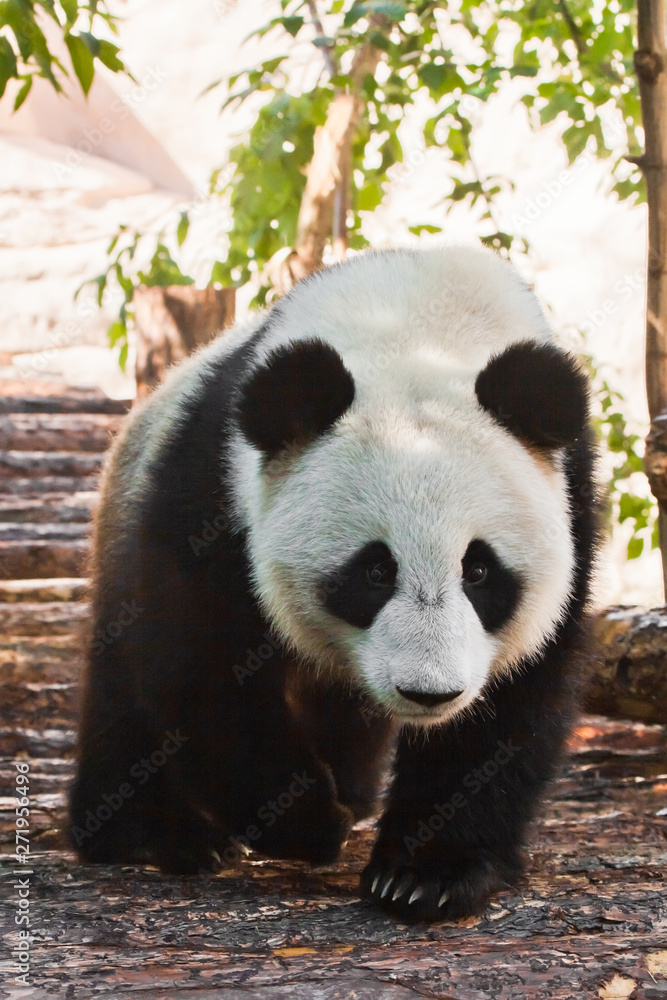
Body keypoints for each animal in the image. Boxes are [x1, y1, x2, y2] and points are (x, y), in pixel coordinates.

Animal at [69, 243, 598, 923]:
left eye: (479, 570)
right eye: (375, 570)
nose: (430, 693)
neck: (418, 320)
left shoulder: (571, 498)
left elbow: (517, 695)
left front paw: (425, 875)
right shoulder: (213, 482)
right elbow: (200, 659)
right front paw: (304, 822)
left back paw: (353, 788)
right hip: (127, 501)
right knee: (123, 684)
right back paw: (152, 832)